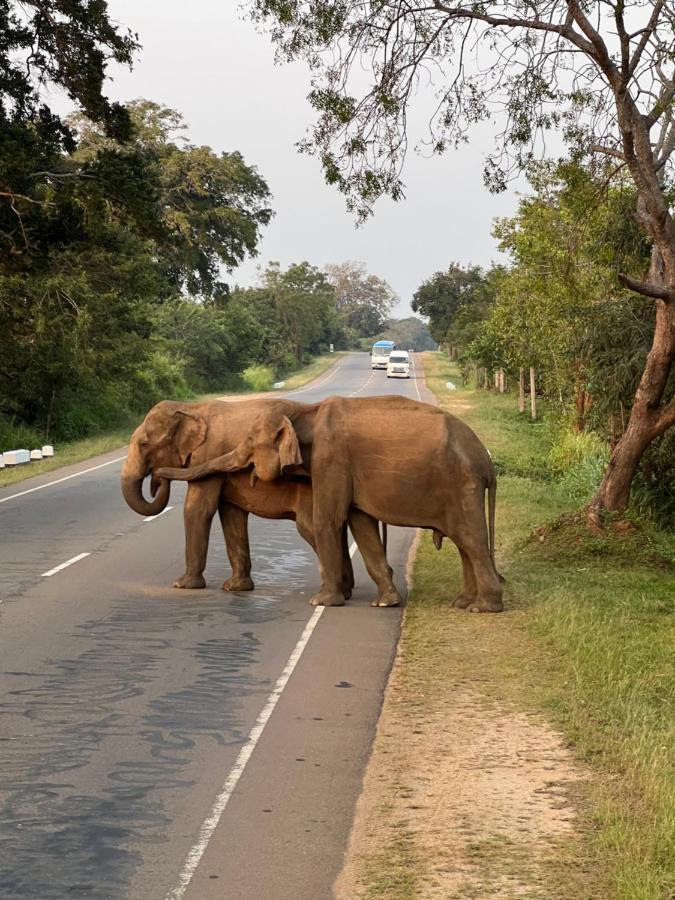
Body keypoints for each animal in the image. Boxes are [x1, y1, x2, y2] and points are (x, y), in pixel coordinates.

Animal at [121, 400, 398, 604]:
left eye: (144, 444)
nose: (157, 478)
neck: (192, 408)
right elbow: (231, 515)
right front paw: (235, 588)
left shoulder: (207, 454)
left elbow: (198, 510)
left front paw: (183, 585)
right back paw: (345, 591)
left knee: (311, 528)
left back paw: (337, 592)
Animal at [154, 394, 502, 612]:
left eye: (250, 440)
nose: (156, 475)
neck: (307, 411)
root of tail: (486, 461)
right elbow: (361, 524)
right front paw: (385, 603)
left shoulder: (331, 459)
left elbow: (328, 520)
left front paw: (321, 602)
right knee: (464, 543)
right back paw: (462, 603)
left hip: (460, 485)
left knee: (470, 539)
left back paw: (483, 608)